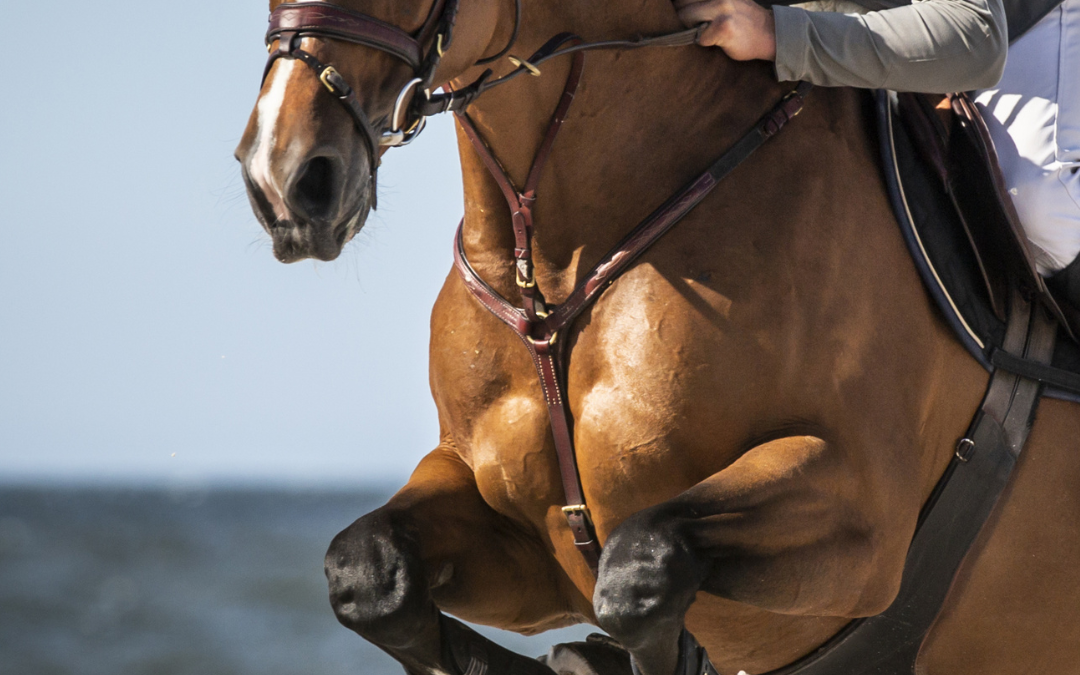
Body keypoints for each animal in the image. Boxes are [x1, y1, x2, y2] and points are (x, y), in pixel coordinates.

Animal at [234, 1, 1080, 673]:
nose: (283, 180)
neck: (559, 265)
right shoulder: (516, 530)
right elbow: (368, 571)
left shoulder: (863, 519)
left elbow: (640, 568)